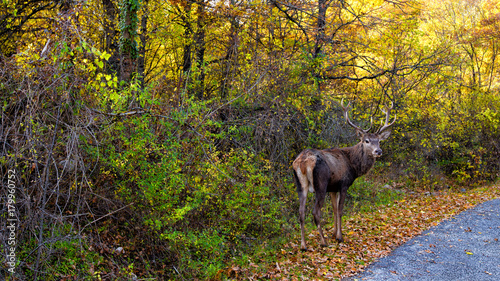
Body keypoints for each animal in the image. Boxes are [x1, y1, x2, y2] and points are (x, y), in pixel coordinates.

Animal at [292, 99, 394, 249]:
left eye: (379, 141)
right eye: (366, 140)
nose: (378, 151)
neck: (353, 165)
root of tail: (303, 162)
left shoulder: (333, 188)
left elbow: (334, 209)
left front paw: (334, 233)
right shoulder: (343, 184)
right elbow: (340, 210)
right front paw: (339, 237)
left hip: (300, 185)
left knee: (301, 212)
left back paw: (303, 245)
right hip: (320, 184)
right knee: (315, 212)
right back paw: (323, 242)